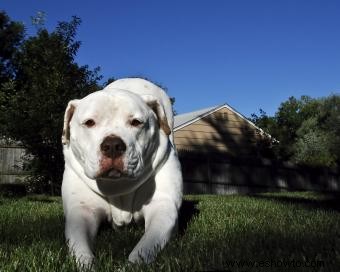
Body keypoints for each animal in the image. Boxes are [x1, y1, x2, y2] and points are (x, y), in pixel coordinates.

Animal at [61, 77, 183, 266]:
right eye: (89, 122)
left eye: (136, 122)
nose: (112, 145)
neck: (118, 185)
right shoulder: (81, 212)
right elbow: (80, 247)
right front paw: (87, 263)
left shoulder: (163, 207)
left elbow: (147, 245)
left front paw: (133, 263)